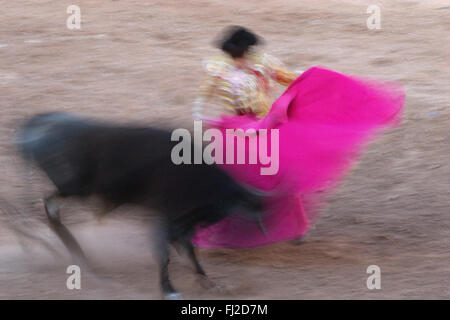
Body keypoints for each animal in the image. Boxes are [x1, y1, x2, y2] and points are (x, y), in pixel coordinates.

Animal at [16, 112, 264, 298]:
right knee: (51, 205)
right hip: (76, 189)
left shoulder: (176, 223)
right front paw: (169, 290)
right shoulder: (168, 218)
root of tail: (39, 125)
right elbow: (166, 253)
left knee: (52, 208)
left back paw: (79, 257)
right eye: (219, 206)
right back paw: (77, 255)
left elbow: (189, 253)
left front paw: (210, 283)